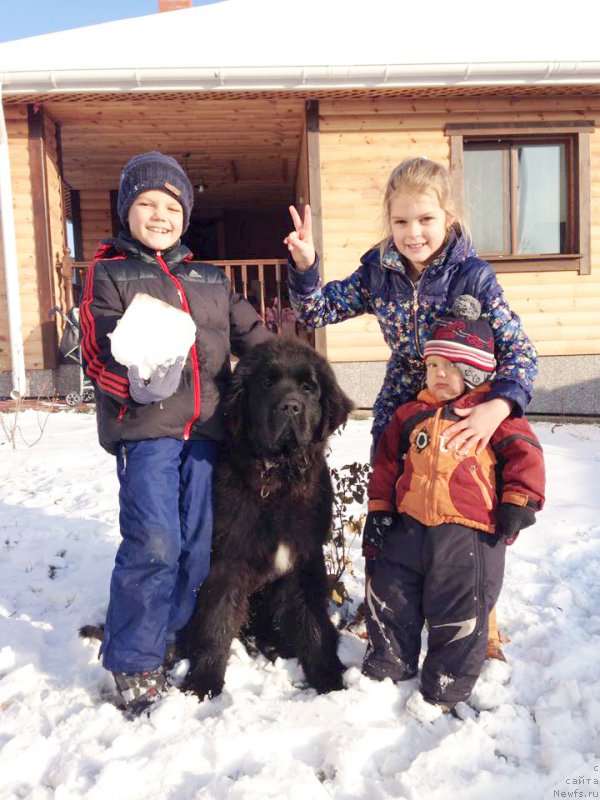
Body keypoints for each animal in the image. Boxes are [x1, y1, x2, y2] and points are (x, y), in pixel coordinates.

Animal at [180, 334, 354, 696]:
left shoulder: (305, 558)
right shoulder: (227, 559)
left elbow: (313, 623)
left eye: (308, 388)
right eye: (266, 383)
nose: (290, 406)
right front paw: (203, 685)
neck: (276, 481)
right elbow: (217, 620)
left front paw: (329, 679)